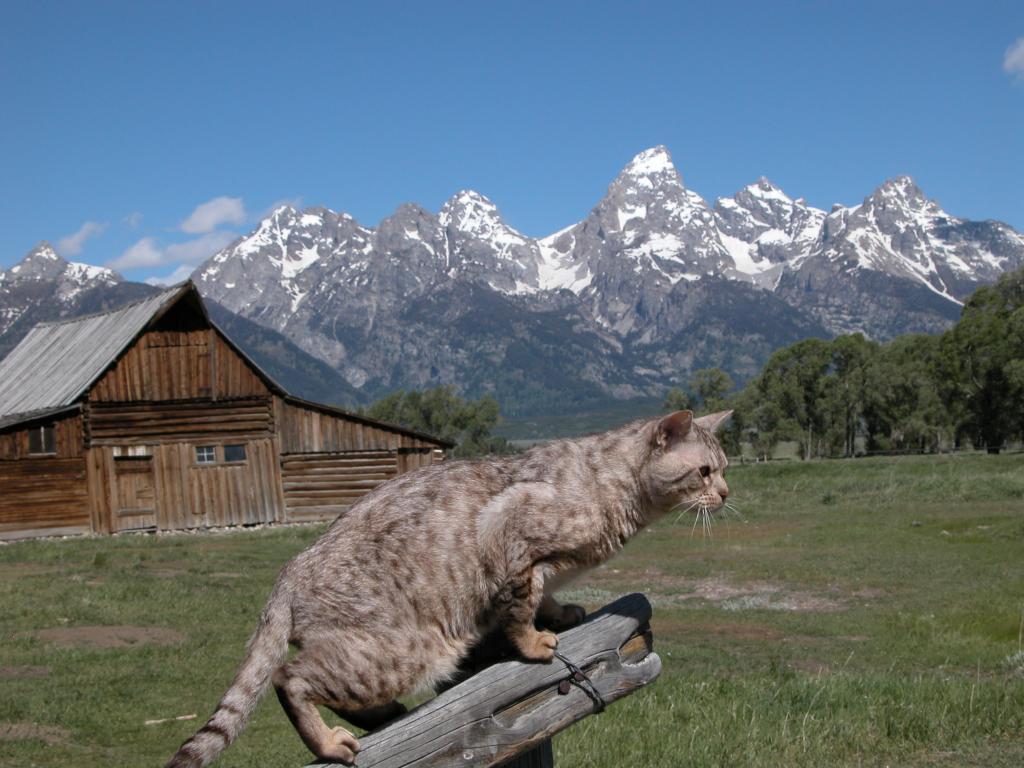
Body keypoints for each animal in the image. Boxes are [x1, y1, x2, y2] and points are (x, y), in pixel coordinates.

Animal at [165, 409, 729, 765]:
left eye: (724, 469)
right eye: (704, 472)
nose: (725, 494)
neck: (615, 489)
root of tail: (287, 574)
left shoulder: (538, 564)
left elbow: (541, 594)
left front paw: (560, 613)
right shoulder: (510, 534)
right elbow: (518, 607)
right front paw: (535, 643)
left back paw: (381, 715)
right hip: (400, 651)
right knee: (289, 677)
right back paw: (329, 742)